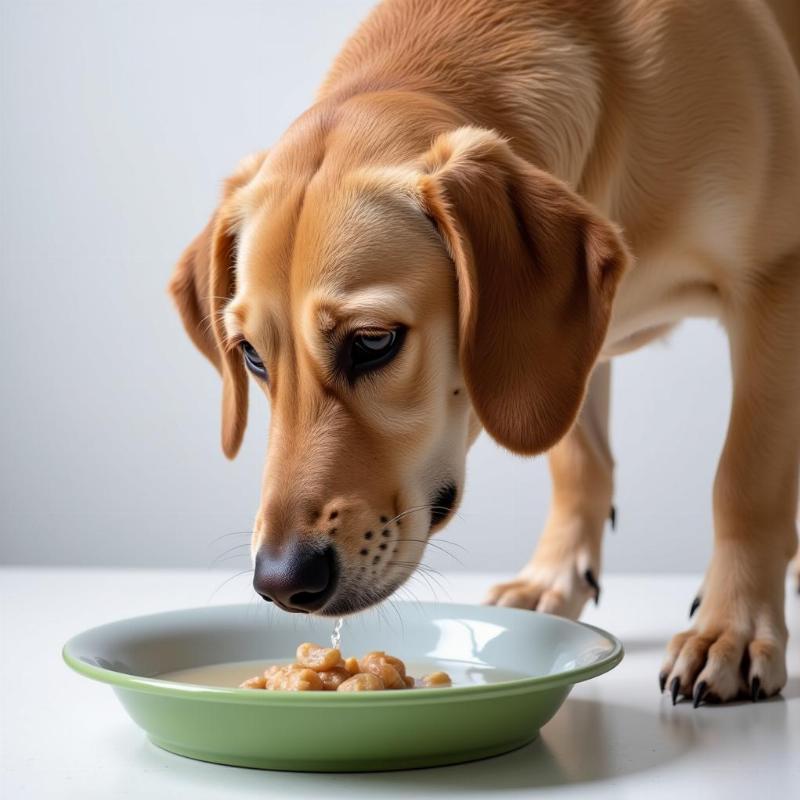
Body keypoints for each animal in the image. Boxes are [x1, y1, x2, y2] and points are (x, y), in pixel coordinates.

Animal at [170, 0, 800, 708]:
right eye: (251, 355)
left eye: (373, 342)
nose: (282, 582)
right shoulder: (572, 342)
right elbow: (578, 460)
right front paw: (554, 578)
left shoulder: (775, 283)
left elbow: (745, 479)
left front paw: (733, 628)